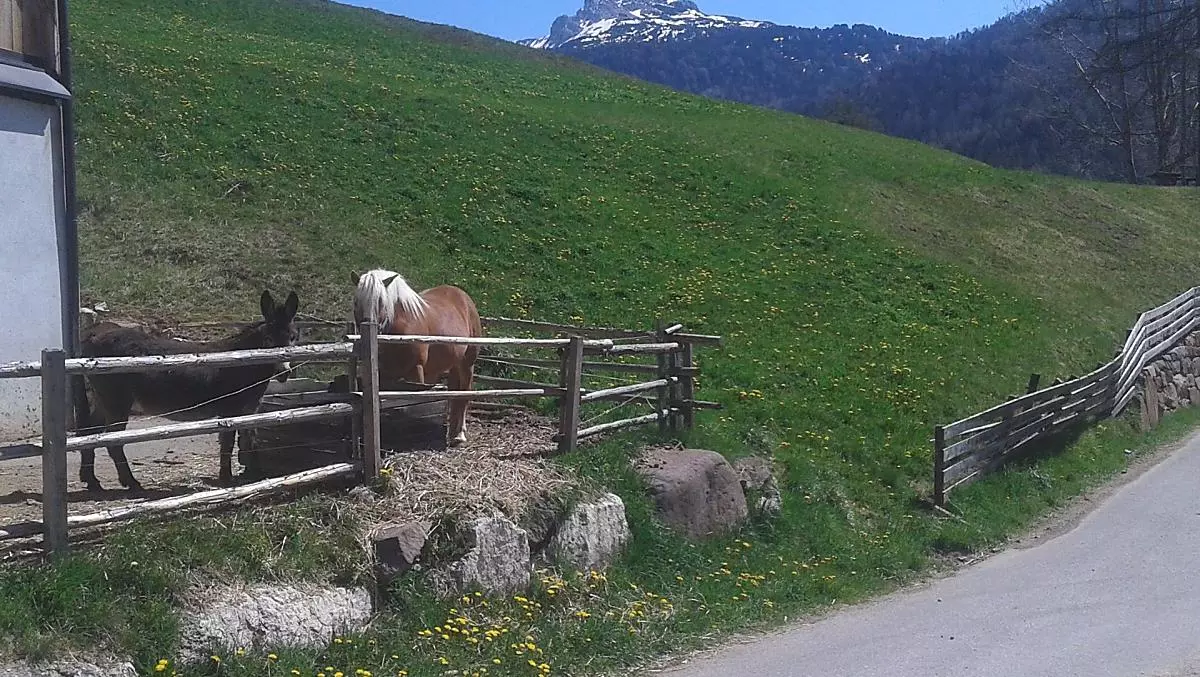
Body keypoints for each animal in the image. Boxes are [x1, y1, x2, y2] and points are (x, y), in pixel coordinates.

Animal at [73, 290, 300, 491]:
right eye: (268, 340)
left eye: (292, 338)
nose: (284, 373)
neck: (248, 362)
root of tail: (93, 333)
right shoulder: (230, 410)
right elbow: (227, 444)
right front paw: (227, 479)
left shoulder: (249, 410)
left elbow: (251, 439)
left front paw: (257, 474)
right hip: (117, 398)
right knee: (113, 441)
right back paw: (131, 483)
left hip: (103, 397)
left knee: (89, 431)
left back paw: (92, 481)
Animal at [350, 269, 482, 447]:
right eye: (356, 301)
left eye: (380, 301)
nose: (367, 327)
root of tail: (464, 297)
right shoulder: (384, 373)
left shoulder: (416, 371)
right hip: (454, 364)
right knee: (454, 395)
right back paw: (451, 432)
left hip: (467, 363)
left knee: (464, 395)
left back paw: (459, 434)